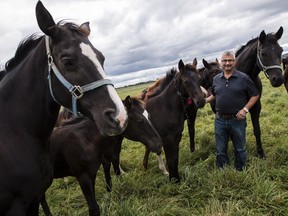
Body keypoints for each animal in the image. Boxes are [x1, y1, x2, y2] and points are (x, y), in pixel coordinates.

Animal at [235, 26, 284, 159]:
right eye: (263, 53)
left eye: (281, 51)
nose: (278, 80)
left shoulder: (256, 105)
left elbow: (257, 130)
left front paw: (261, 152)